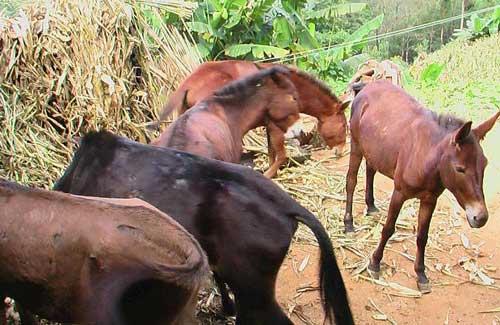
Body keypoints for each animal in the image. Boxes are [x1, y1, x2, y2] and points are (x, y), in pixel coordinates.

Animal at [346, 79, 498, 292]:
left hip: (375, 149)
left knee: (370, 170)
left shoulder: (429, 199)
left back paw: (371, 205)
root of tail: (367, 86)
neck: (428, 157)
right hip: (356, 145)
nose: (481, 218)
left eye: (484, 164)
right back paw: (348, 223)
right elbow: (388, 228)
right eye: (460, 169)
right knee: (351, 181)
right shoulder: (399, 193)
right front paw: (375, 263)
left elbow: (422, 237)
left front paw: (421, 274)